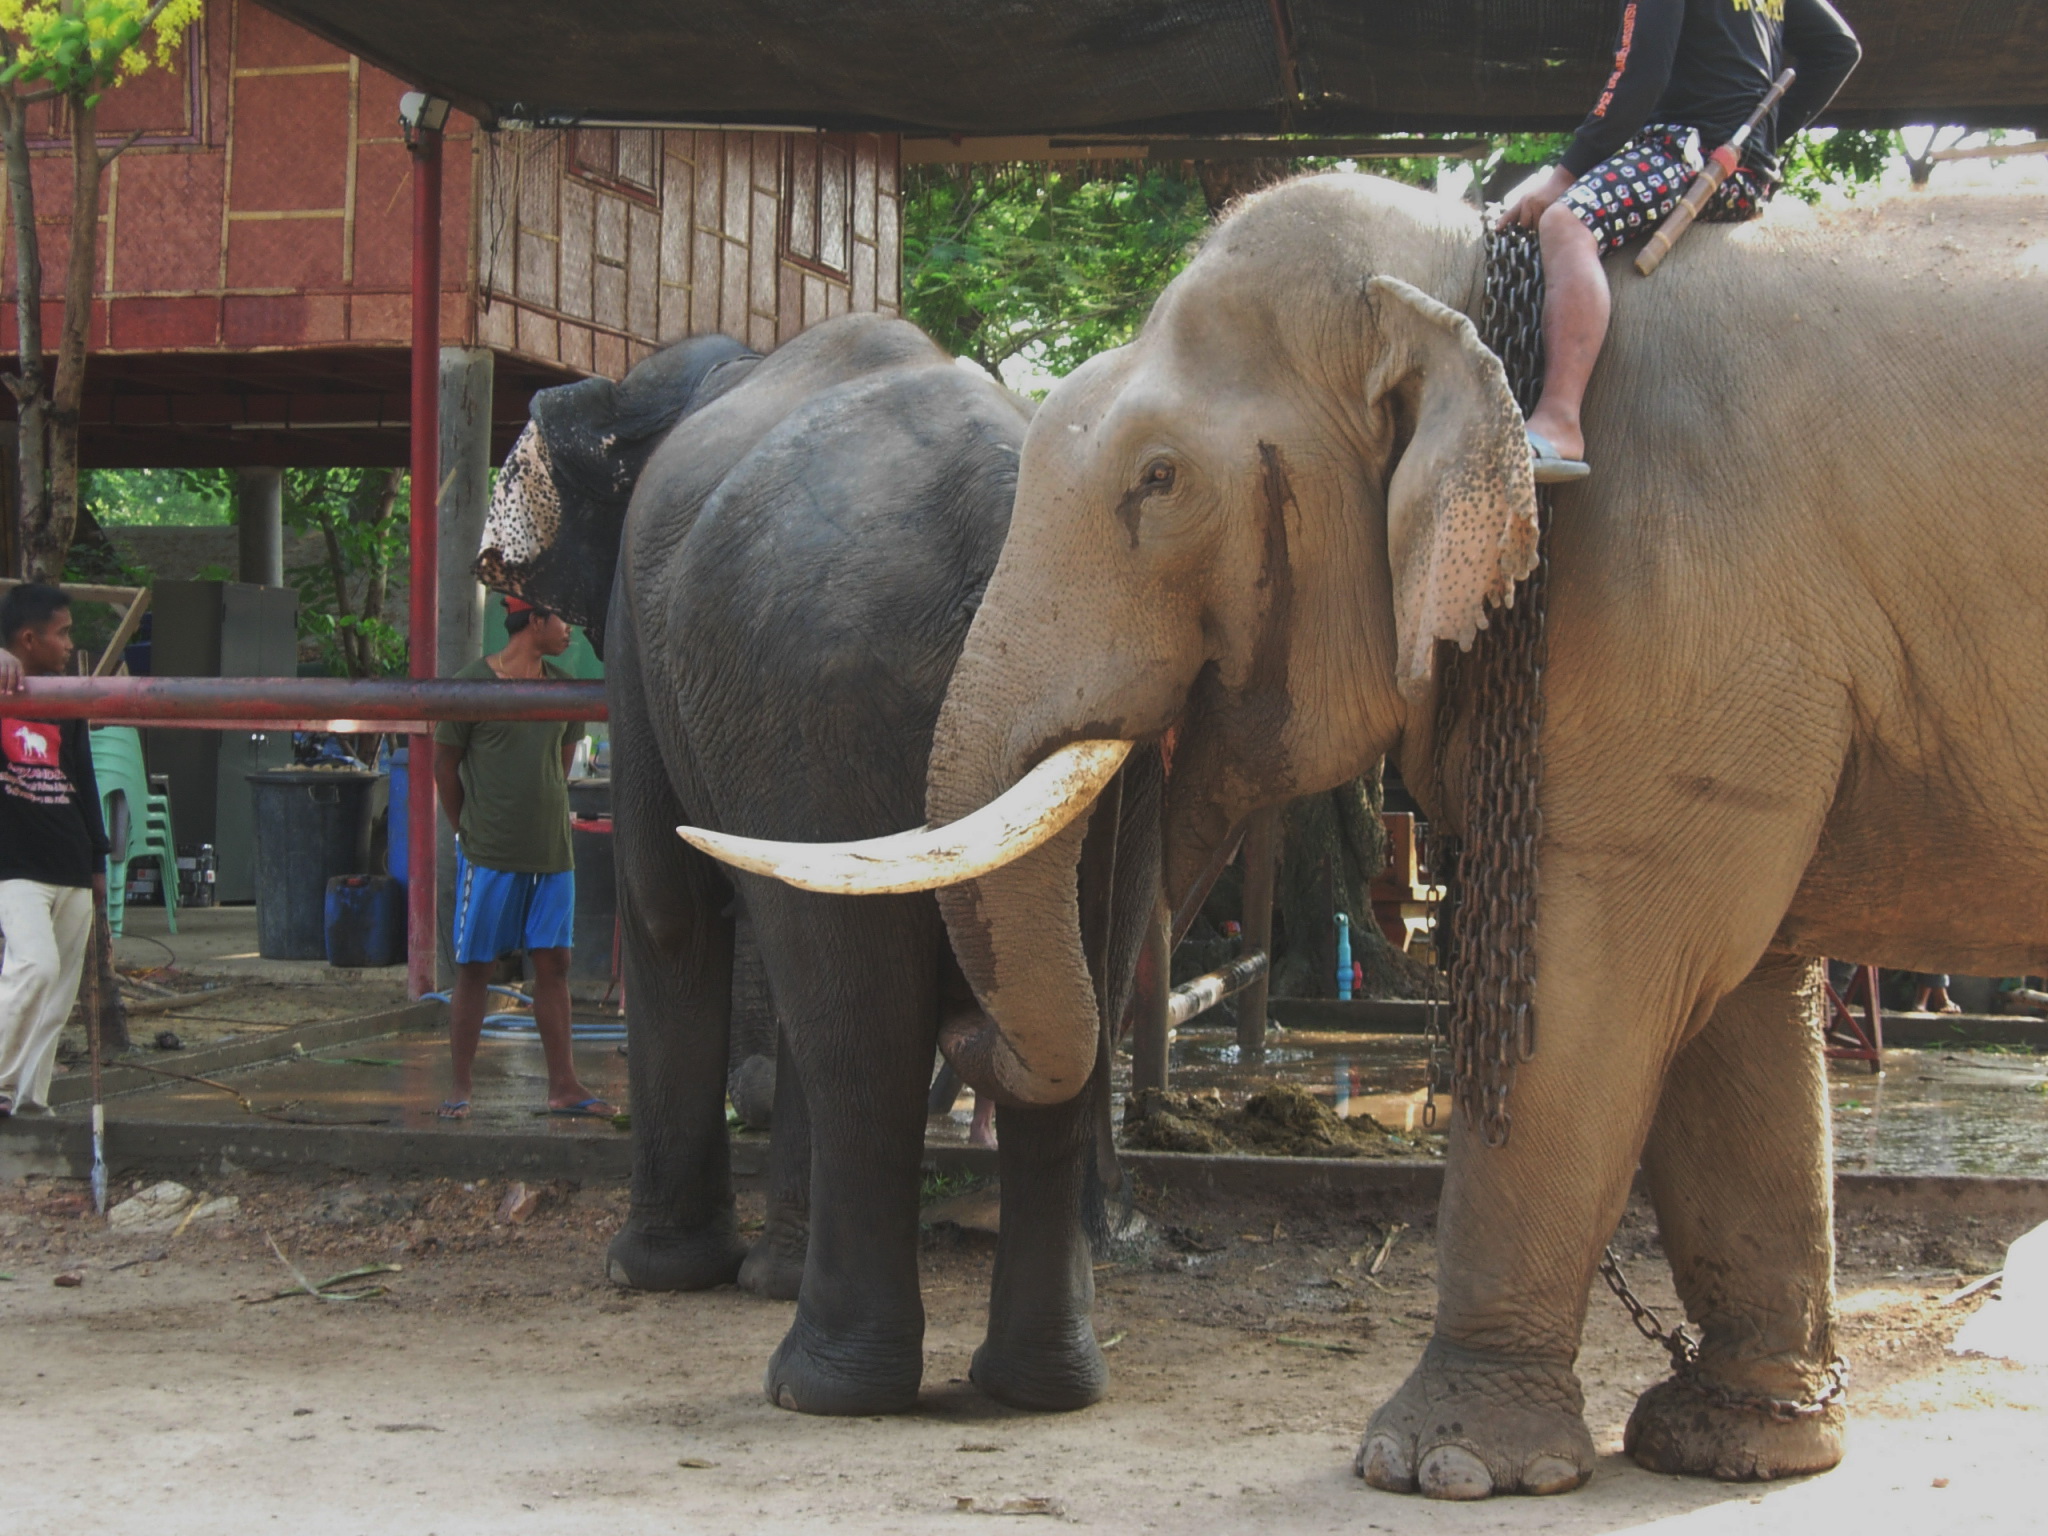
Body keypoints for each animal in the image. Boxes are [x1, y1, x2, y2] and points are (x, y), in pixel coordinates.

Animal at [471, 313, 1163, 1417]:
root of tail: (999, 508)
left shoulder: (639, 639)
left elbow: (668, 909)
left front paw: (654, 1273)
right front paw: (756, 1273)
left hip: (818, 688)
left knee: (859, 1030)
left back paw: (818, 1386)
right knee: (1070, 996)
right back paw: (1039, 1386)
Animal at [700, 174, 2048, 1499]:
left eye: (1157, 481)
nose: (961, 1034)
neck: (1456, 269)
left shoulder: (1671, 603)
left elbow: (1595, 992)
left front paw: (1439, 1464)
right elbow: (1735, 1010)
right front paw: (1730, 1447)